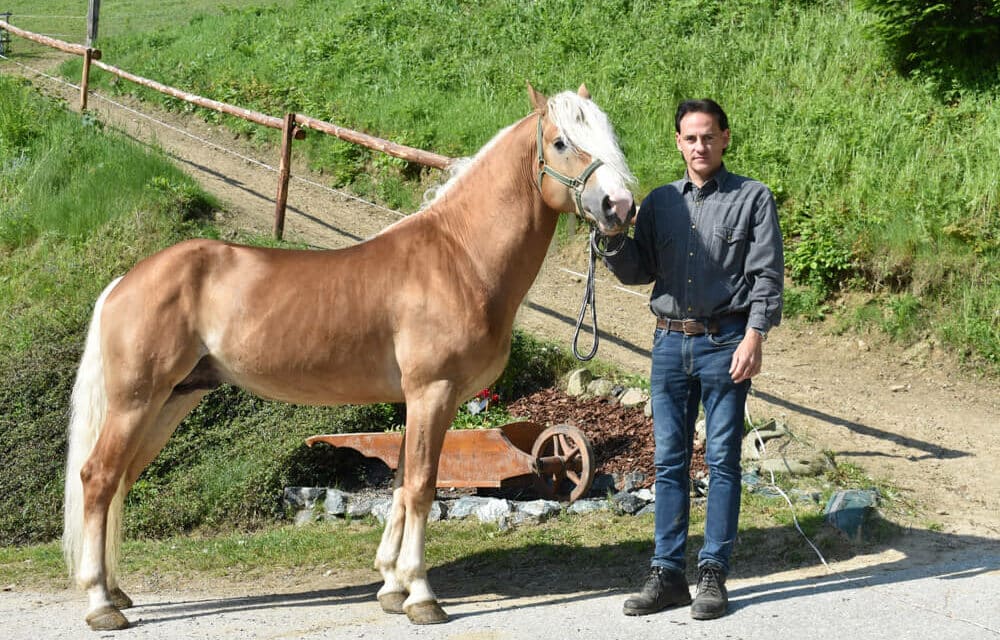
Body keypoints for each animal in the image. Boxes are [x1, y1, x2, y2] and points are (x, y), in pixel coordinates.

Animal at [62, 81, 636, 632]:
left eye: (610, 134)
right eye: (561, 142)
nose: (620, 206)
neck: (458, 257)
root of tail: (124, 281)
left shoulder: (416, 401)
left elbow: (401, 486)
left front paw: (391, 587)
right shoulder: (432, 393)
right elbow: (422, 487)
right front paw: (421, 596)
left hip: (172, 400)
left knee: (119, 482)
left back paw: (116, 591)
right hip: (136, 402)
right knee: (98, 478)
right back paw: (100, 604)